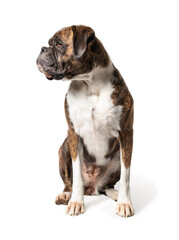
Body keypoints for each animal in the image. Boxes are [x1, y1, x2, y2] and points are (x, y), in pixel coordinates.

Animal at [36, 25, 134, 217]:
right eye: (50, 44)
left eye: (58, 44)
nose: (42, 49)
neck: (89, 84)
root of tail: (92, 188)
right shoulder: (73, 133)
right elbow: (77, 177)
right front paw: (76, 202)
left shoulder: (126, 133)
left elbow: (126, 175)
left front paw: (124, 202)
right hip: (64, 147)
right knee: (69, 182)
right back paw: (65, 195)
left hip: (117, 157)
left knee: (107, 187)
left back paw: (115, 194)